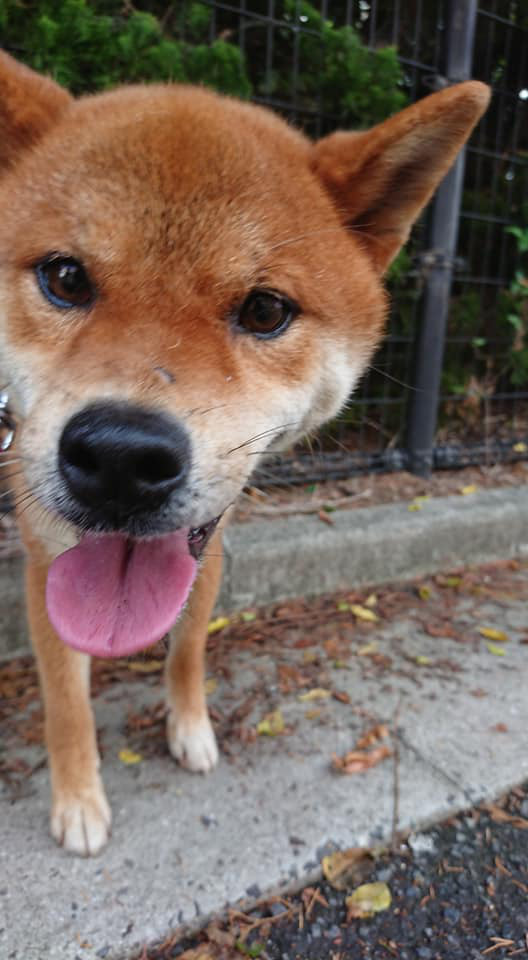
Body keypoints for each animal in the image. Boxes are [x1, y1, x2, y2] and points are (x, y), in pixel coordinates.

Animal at [0, 50, 488, 856]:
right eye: (65, 277)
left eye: (265, 310)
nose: (120, 458)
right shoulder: (45, 557)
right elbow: (67, 701)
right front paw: (77, 799)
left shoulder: (213, 545)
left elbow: (188, 649)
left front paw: (190, 728)